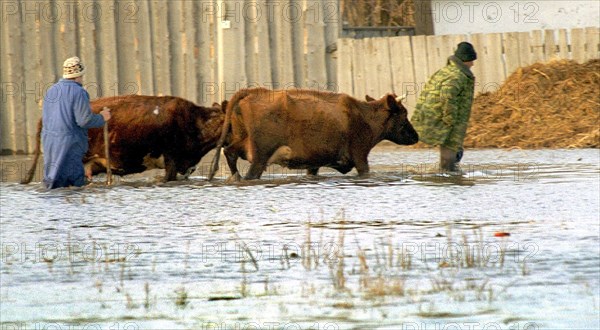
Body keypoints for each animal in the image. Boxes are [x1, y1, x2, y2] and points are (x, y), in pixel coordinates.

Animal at [209, 87, 420, 180]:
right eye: (403, 113)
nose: (416, 137)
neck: (364, 114)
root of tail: (254, 91)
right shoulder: (360, 156)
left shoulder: (314, 162)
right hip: (260, 155)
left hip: (242, 141)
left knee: (229, 152)